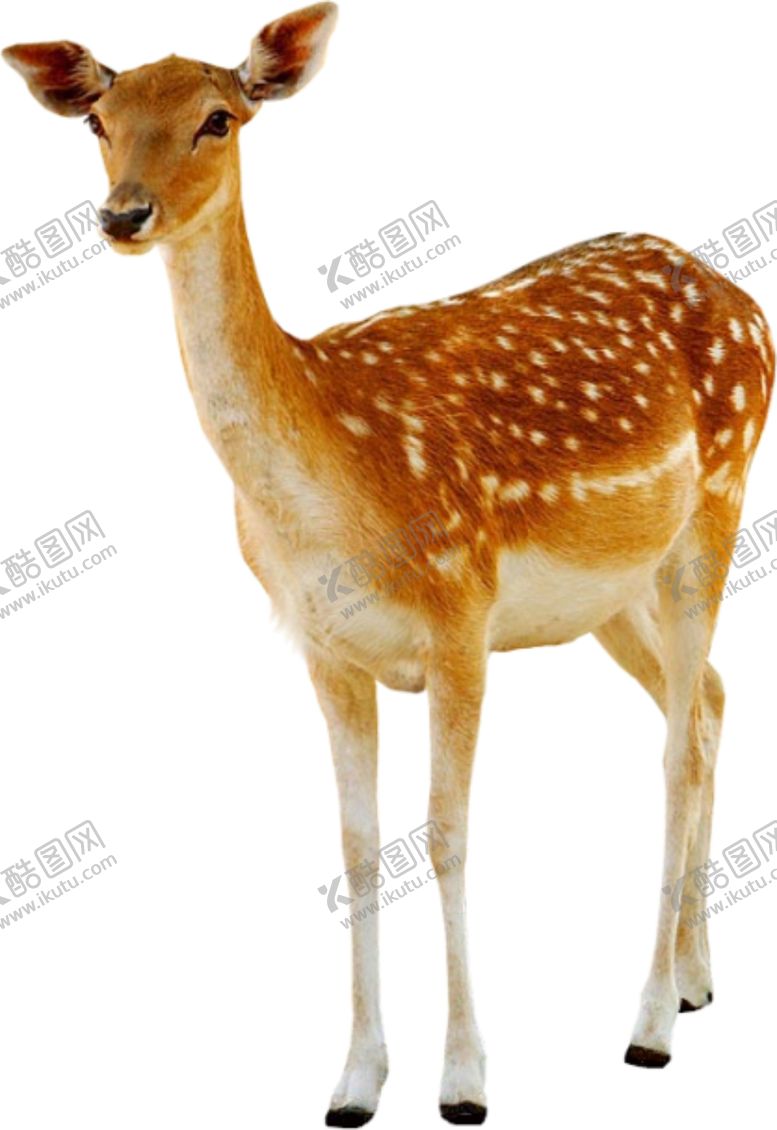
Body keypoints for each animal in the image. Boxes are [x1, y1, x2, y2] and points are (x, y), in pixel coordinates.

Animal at [4, 4, 774, 1125]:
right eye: (99, 120)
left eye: (218, 119)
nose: (123, 214)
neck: (334, 494)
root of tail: (741, 296)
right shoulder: (325, 646)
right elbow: (359, 845)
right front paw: (355, 1082)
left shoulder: (461, 613)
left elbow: (446, 834)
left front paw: (464, 1082)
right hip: (611, 593)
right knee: (709, 697)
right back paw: (696, 979)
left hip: (718, 502)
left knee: (678, 741)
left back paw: (649, 1025)